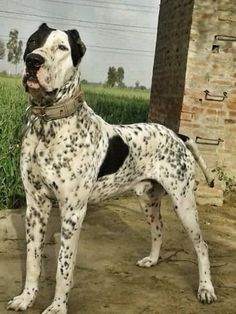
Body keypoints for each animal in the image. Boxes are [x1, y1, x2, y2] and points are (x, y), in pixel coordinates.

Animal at [7, 23, 217, 312]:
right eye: (32, 42)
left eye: (62, 47)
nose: (33, 61)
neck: (48, 126)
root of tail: (177, 134)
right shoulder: (36, 206)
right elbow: (32, 259)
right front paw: (26, 298)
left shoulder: (73, 212)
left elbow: (63, 266)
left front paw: (58, 306)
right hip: (147, 199)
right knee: (158, 229)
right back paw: (152, 260)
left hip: (183, 202)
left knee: (202, 246)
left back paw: (206, 289)